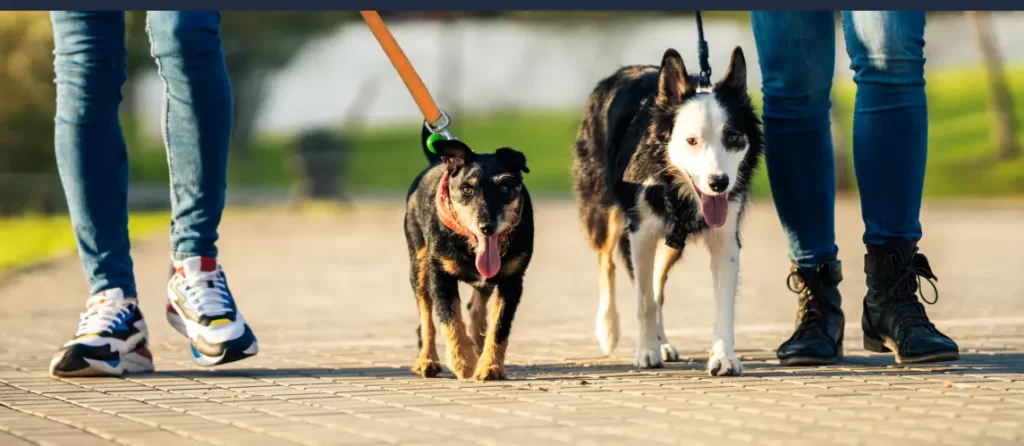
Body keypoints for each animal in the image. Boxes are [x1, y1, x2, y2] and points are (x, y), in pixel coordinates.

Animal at [403, 126, 536, 380]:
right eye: (467, 188)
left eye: (505, 187)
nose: (487, 226)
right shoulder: (440, 275)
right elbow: (450, 317)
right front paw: (463, 362)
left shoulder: (512, 280)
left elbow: (500, 325)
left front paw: (490, 366)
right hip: (419, 266)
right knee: (426, 315)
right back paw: (427, 360)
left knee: (476, 306)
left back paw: (478, 344)